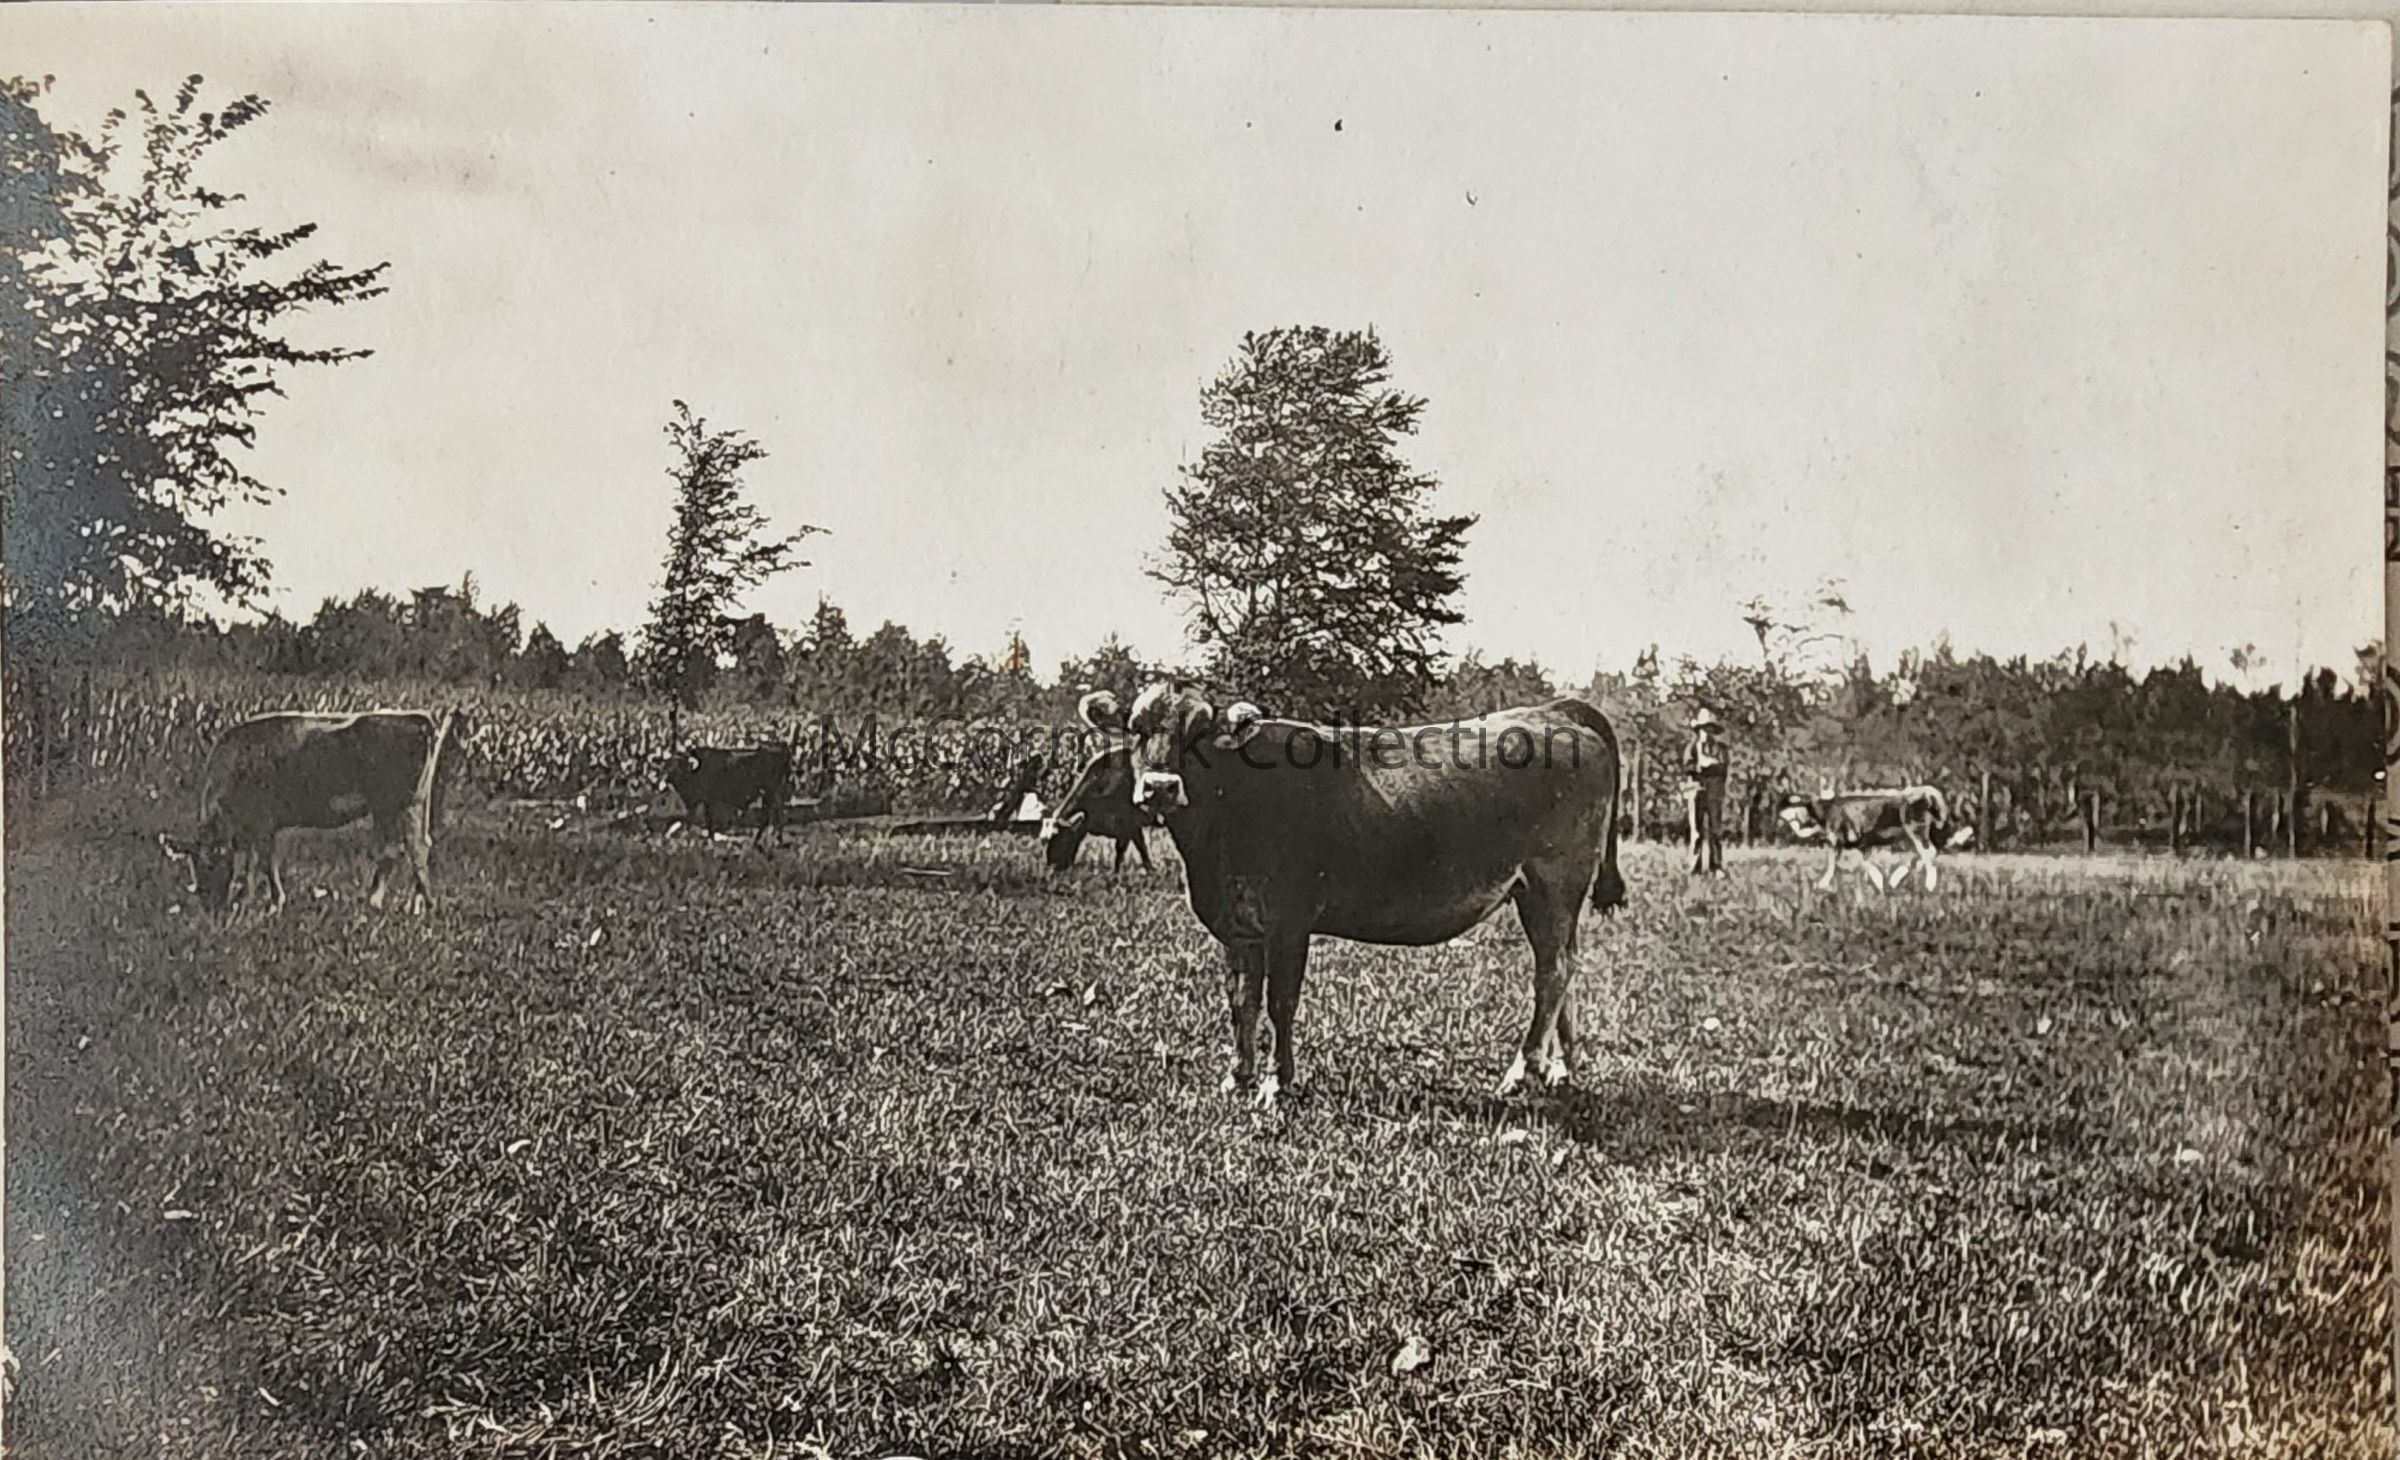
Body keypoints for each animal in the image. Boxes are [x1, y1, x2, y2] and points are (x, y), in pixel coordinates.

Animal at [159, 710, 456, 914]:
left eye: (209, 865)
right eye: (193, 865)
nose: (209, 904)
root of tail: (417, 718)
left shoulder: (263, 825)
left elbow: (265, 862)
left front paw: (274, 903)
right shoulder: (252, 830)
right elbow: (253, 864)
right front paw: (249, 899)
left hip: (393, 808)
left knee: (403, 851)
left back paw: (391, 903)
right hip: (413, 807)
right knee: (417, 848)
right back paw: (413, 904)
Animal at [665, 741, 796, 843]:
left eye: (681, 765)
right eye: (669, 765)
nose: (668, 777)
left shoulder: (711, 800)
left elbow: (709, 820)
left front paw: (710, 838)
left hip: (771, 791)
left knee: (774, 814)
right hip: (772, 793)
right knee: (774, 814)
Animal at [1083, 682, 1626, 1106]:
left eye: (1198, 733)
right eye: (1135, 727)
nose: (1160, 787)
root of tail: (1553, 710)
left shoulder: (1289, 921)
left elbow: (1280, 1002)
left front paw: (1277, 1083)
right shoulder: (1239, 926)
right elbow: (1242, 1001)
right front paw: (1238, 1076)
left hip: (1553, 881)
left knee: (1552, 971)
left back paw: (1523, 1070)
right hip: (1545, 893)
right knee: (1566, 964)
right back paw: (1560, 1069)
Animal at [1776, 785, 1974, 892]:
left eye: (1789, 805)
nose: (1778, 816)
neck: (1823, 812)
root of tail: (1926, 792)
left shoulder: (1836, 840)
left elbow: (1832, 864)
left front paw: (1822, 884)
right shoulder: (1864, 843)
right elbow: (1866, 863)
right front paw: (1878, 882)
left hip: (1916, 830)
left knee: (1928, 852)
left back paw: (1928, 886)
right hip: (1922, 833)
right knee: (1928, 852)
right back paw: (1896, 879)